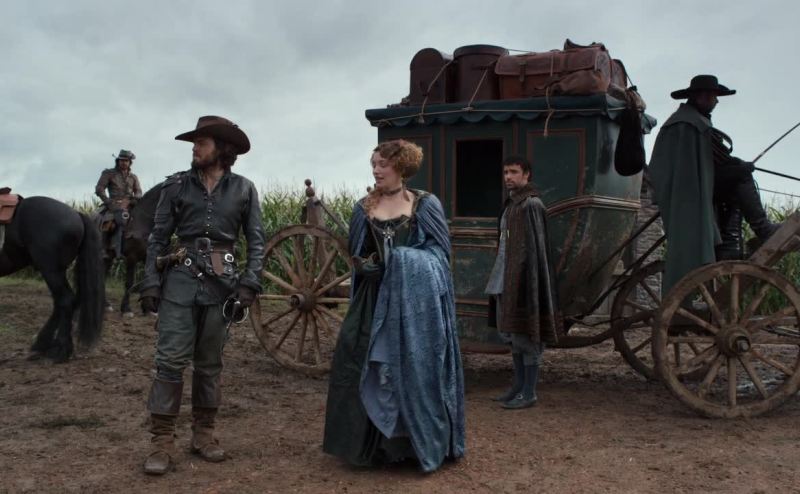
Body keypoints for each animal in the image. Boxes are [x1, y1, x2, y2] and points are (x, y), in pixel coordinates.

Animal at [0, 196, 105, 362]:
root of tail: (76, 213)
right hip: (57, 272)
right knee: (62, 303)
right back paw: (43, 344)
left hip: (50, 270)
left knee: (66, 300)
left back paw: (61, 350)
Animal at [101, 183, 161, 316]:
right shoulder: (131, 258)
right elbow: (129, 282)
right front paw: (126, 309)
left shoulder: (147, 258)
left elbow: (147, 279)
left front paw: (147, 309)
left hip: (109, 258)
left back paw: (106, 304)